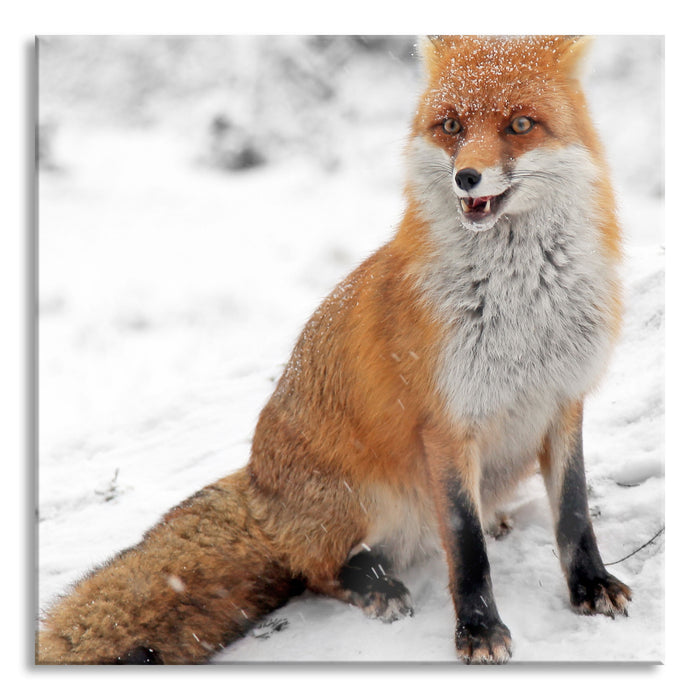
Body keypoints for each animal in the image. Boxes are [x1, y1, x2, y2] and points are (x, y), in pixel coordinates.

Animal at [36, 34, 631, 665]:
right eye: (451, 125)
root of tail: (257, 488)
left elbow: (573, 513)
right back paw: (374, 586)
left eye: (520, 125)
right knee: (316, 570)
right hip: (367, 499)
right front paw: (478, 629)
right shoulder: (446, 427)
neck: (521, 307)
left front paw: (591, 586)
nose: (466, 177)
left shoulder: (563, 400)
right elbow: (466, 548)